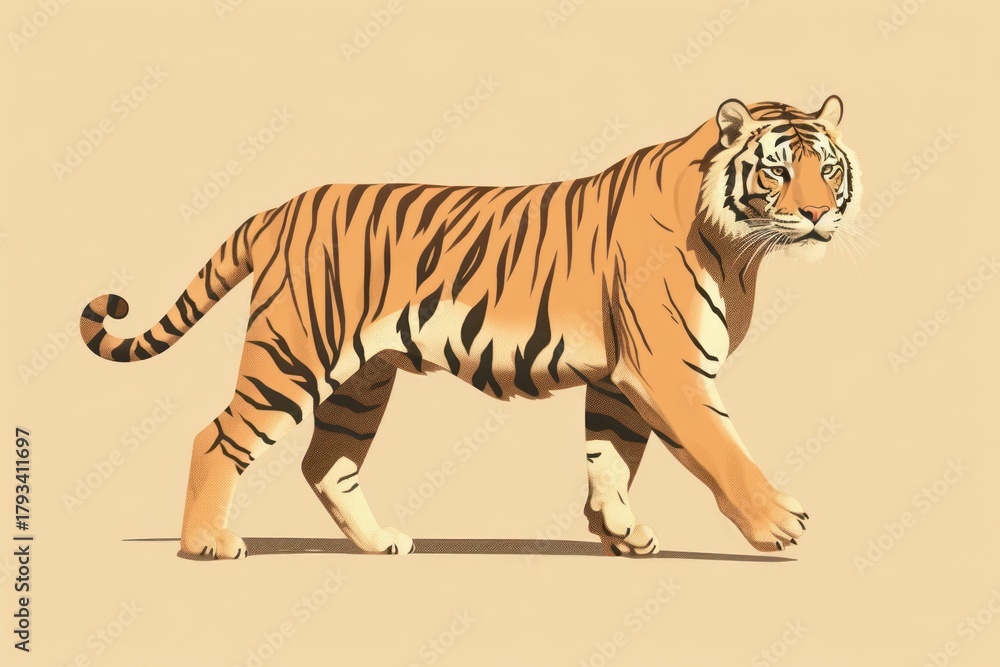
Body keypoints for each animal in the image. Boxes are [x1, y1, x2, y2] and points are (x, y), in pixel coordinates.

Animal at [80, 95, 861, 559]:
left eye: (827, 168)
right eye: (777, 172)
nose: (820, 213)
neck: (739, 246)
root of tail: (278, 208)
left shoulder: (619, 379)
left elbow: (609, 457)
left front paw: (619, 532)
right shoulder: (668, 369)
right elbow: (722, 451)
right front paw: (778, 523)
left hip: (362, 381)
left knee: (325, 462)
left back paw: (379, 543)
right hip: (293, 353)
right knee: (216, 436)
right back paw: (207, 543)